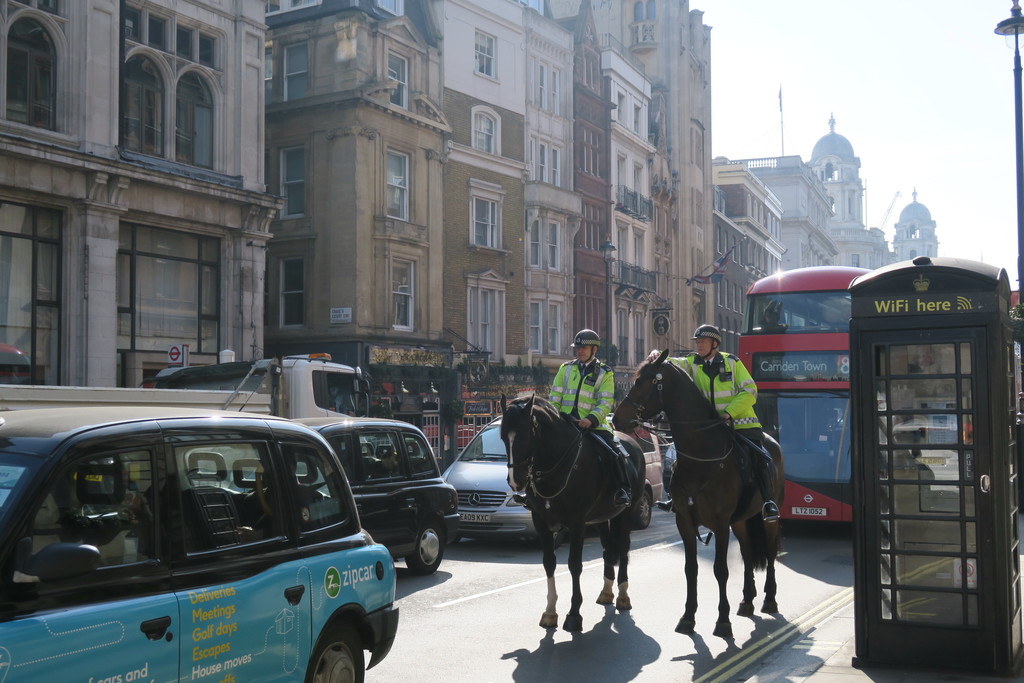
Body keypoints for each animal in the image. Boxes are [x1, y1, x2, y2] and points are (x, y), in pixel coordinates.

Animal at [499, 395, 643, 634]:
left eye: (526, 435)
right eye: (502, 437)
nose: (515, 481)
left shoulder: (577, 524)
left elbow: (575, 565)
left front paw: (574, 614)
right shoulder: (541, 522)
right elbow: (549, 563)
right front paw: (550, 612)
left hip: (627, 513)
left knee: (623, 549)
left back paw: (623, 595)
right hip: (602, 518)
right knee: (608, 550)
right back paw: (607, 592)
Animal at [614, 350, 782, 638]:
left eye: (648, 382)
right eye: (635, 380)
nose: (616, 418)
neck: (702, 457)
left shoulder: (720, 523)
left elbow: (721, 570)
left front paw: (723, 621)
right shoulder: (685, 521)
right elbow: (690, 569)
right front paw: (688, 617)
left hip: (767, 518)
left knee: (770, 552)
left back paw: (769, 599)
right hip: (741, 520)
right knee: (748, 552)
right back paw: (747, 600)